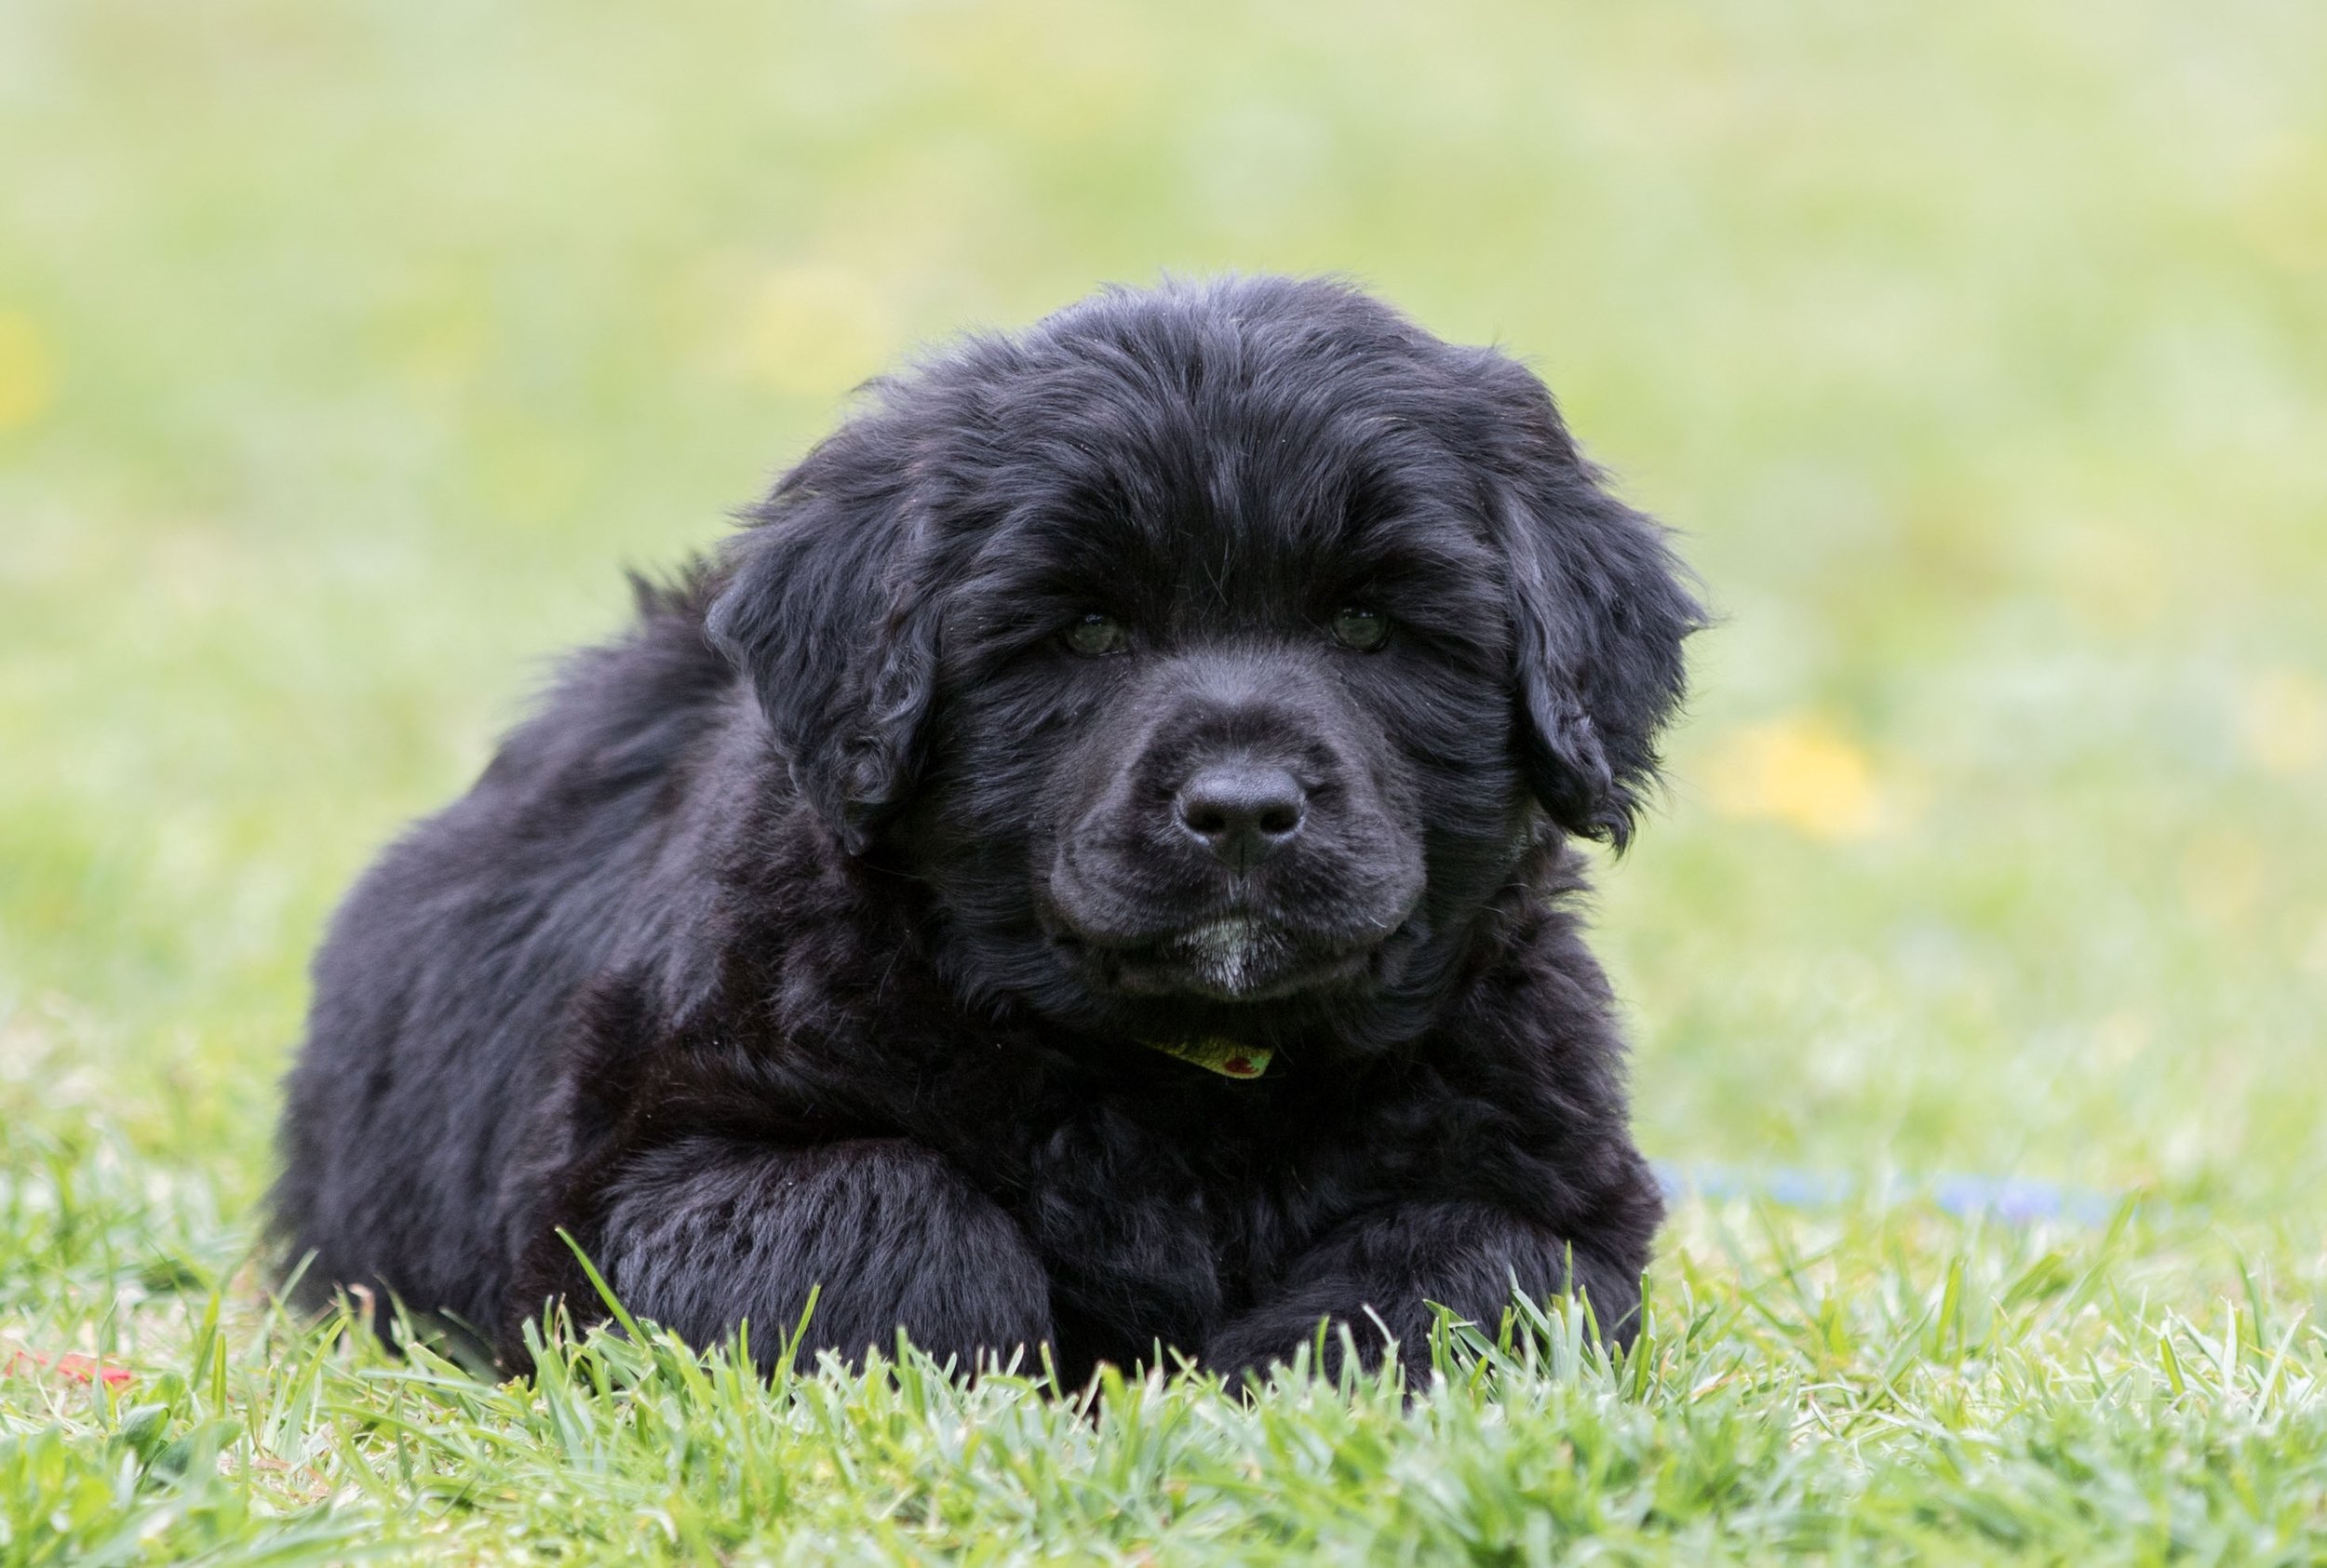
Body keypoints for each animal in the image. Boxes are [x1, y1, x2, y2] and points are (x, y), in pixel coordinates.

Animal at [272, 277, 1713, 1377]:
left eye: (1367, 622)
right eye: (1084, 629)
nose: (1243, 812)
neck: (1196, 1071)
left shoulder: (1558, 1180)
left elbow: (1481, 1260)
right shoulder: (632, 1180)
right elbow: (877, 1204)